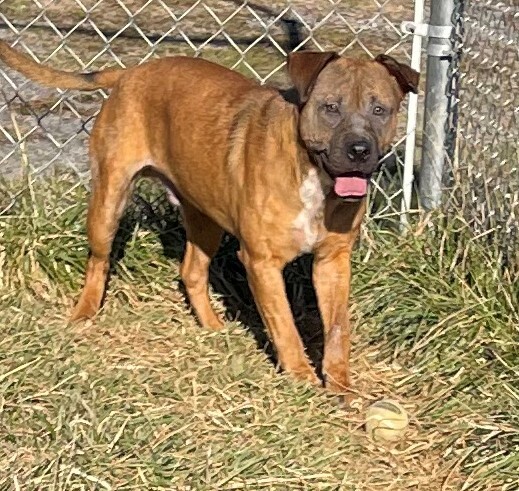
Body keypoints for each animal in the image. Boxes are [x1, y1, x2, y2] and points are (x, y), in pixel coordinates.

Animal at [1, 39, 418, 392]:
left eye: (380, 110)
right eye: (330, 107)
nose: (359, 150)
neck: (313, 174)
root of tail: (132, 71)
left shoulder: (333, 262)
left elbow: (337, 329)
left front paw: (341, 386)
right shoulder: (262, 263)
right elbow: (285, 325)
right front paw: (300, 378)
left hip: (206, 220)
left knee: (191, 272)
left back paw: (213, 328)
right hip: (109, 202)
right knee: (99, 261)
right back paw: (84, 314)